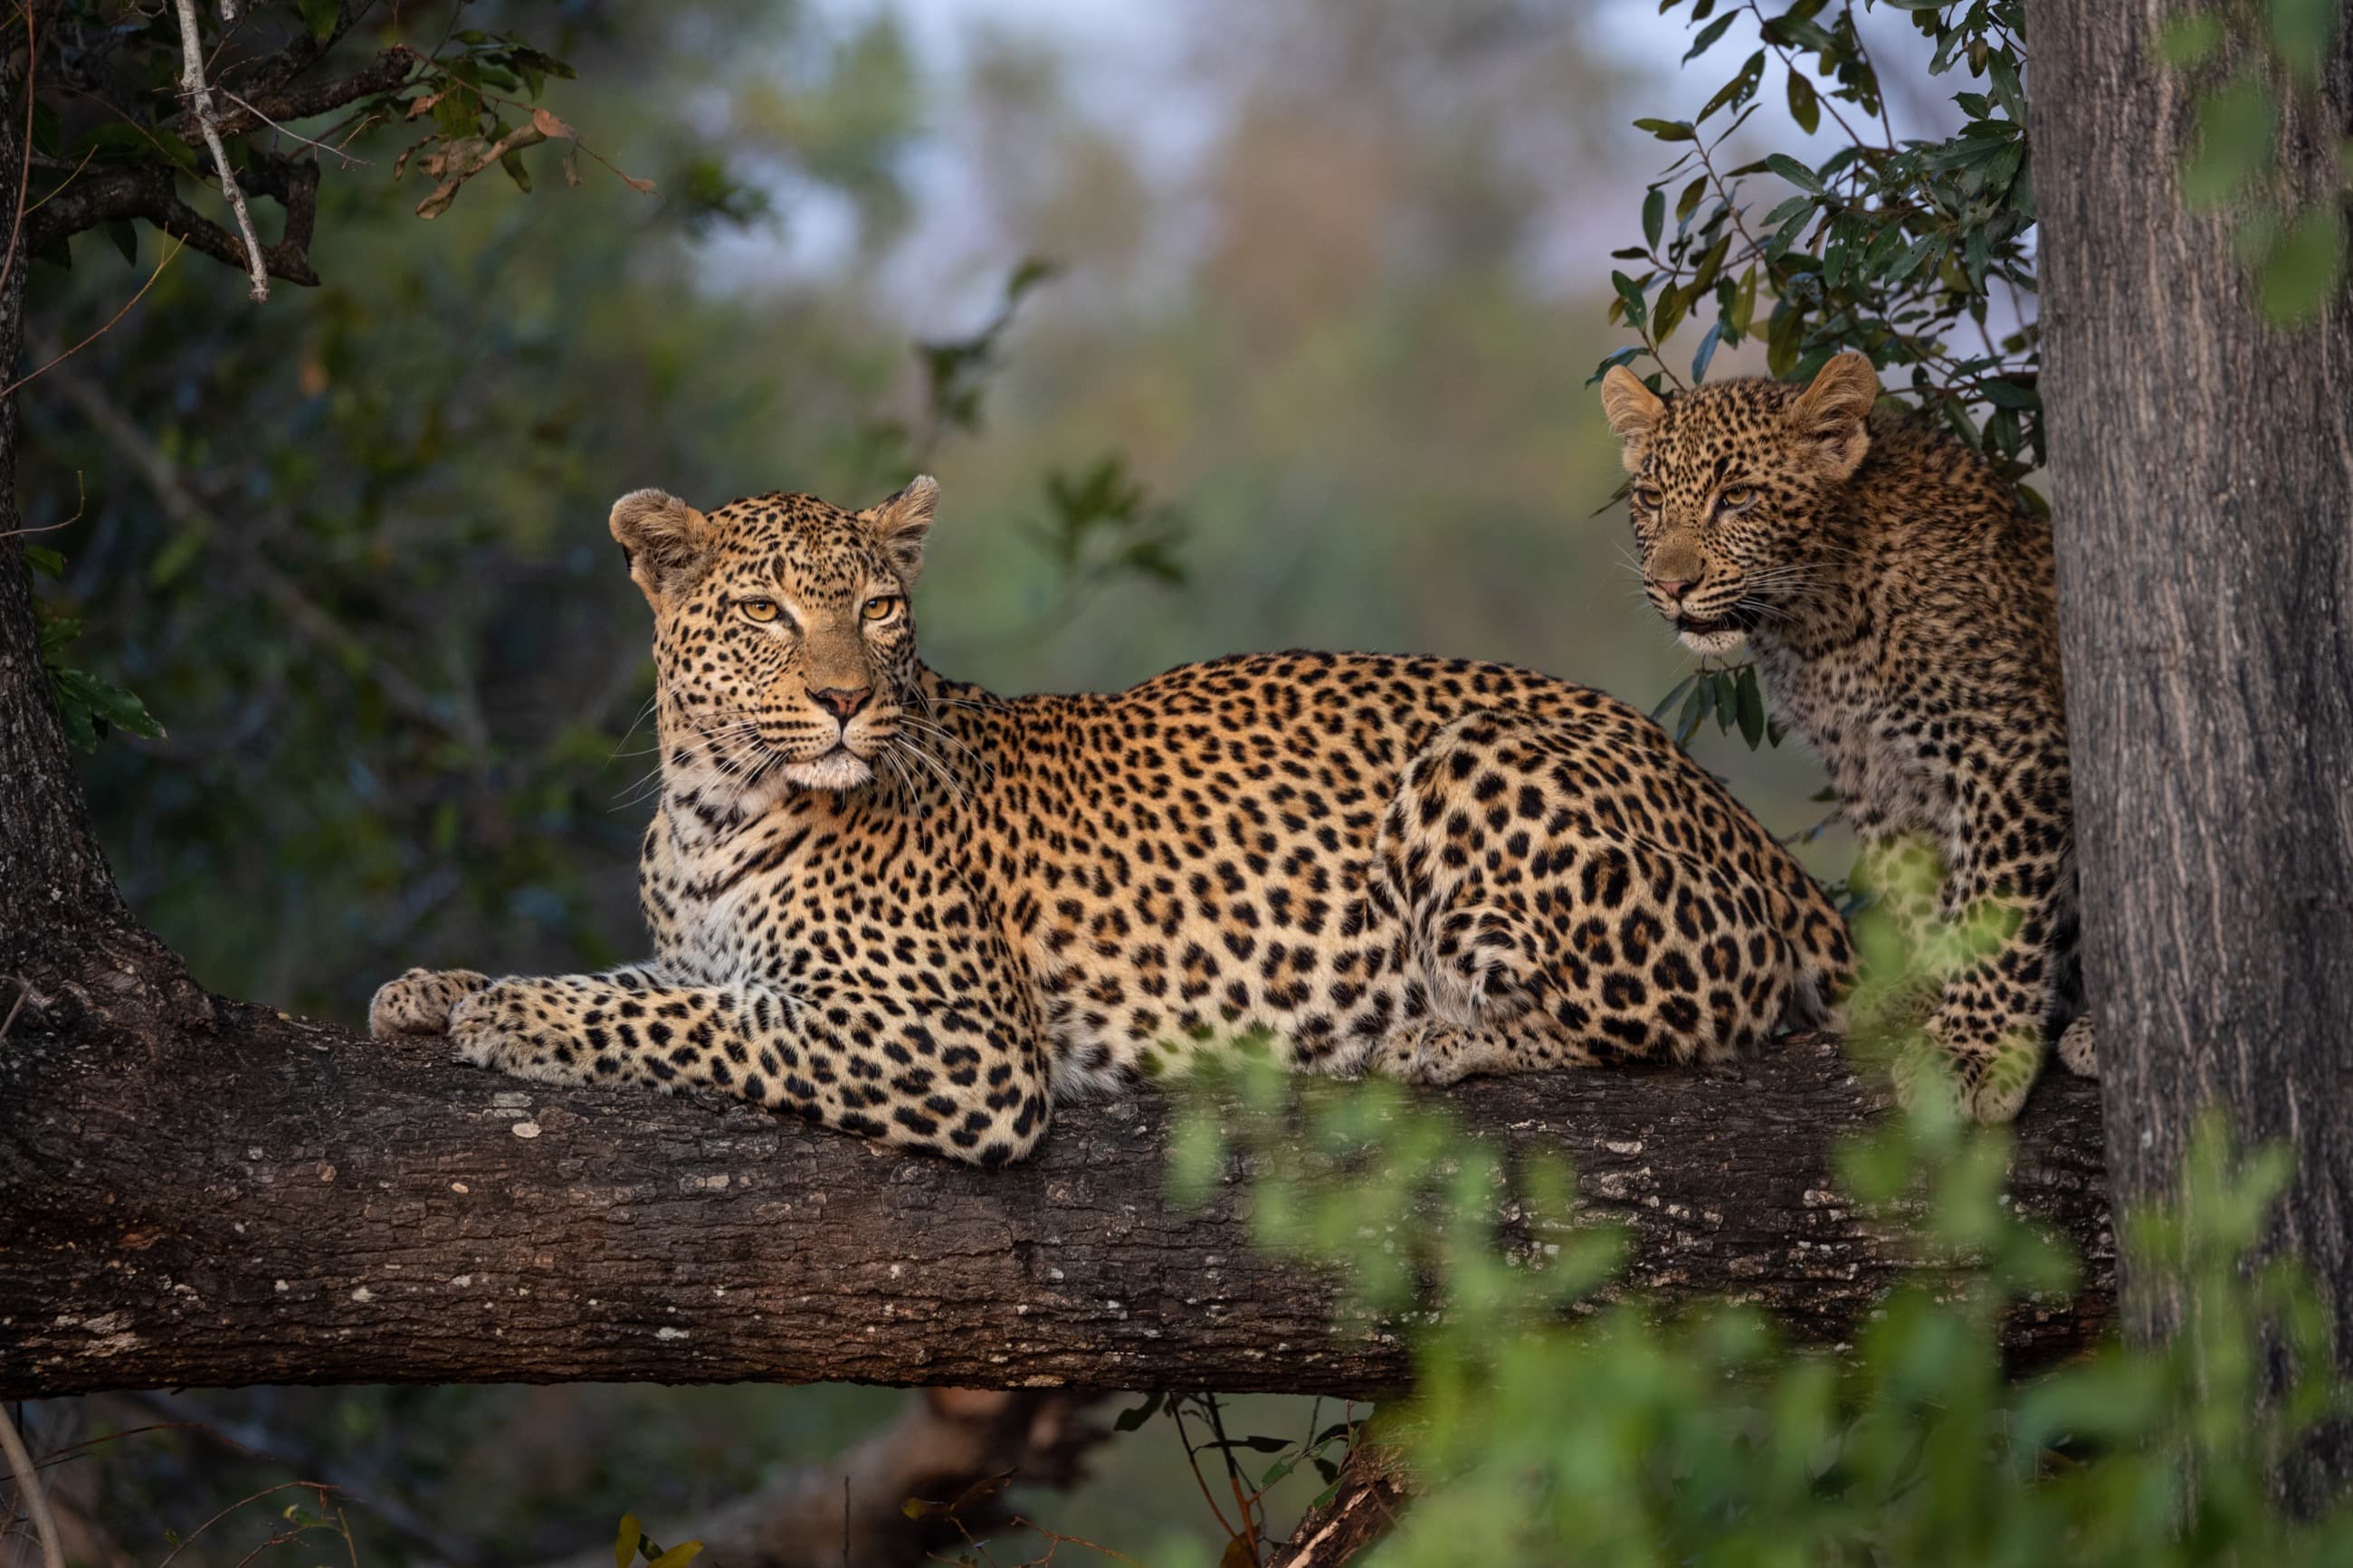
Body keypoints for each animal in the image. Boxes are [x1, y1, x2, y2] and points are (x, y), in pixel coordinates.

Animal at [369, 476, 1852, 1164]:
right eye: (768, 614)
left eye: (879, 610)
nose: (848, 699)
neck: (713, 804)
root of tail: (1735, 816)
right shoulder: (705, 950)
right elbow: (657, 984)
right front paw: (430, 986)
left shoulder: (961, 1045)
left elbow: (699, 1025)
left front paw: (514, 1016)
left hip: (1479, 761)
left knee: (1667, 1022)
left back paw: (1434, 1034)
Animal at [1599, 350, 2093, 1123]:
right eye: (1650, 499)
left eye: (1738, 497)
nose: (1672, 586)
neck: (1819, 622)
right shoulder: (1871, 766)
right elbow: (1911, 884)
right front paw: (1925, 990)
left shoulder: (2007, 744)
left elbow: (1995, 903)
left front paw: (1975, 1048)